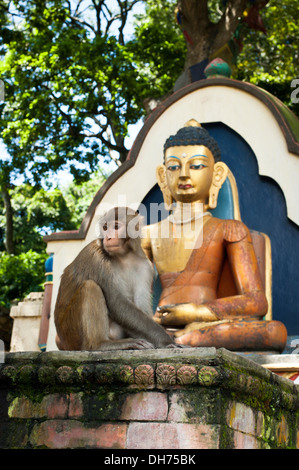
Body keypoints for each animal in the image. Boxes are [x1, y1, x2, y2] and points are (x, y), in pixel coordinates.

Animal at [54, 206, 178, 348]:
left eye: (116, 227)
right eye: (105, 227)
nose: (108, 237)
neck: (125, 256)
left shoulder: (146, 267)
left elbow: (140, 303)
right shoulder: (96, 258)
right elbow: (117, 302)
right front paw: (167, 341)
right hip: (71, 333)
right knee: (90, 287)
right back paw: (100, 344)